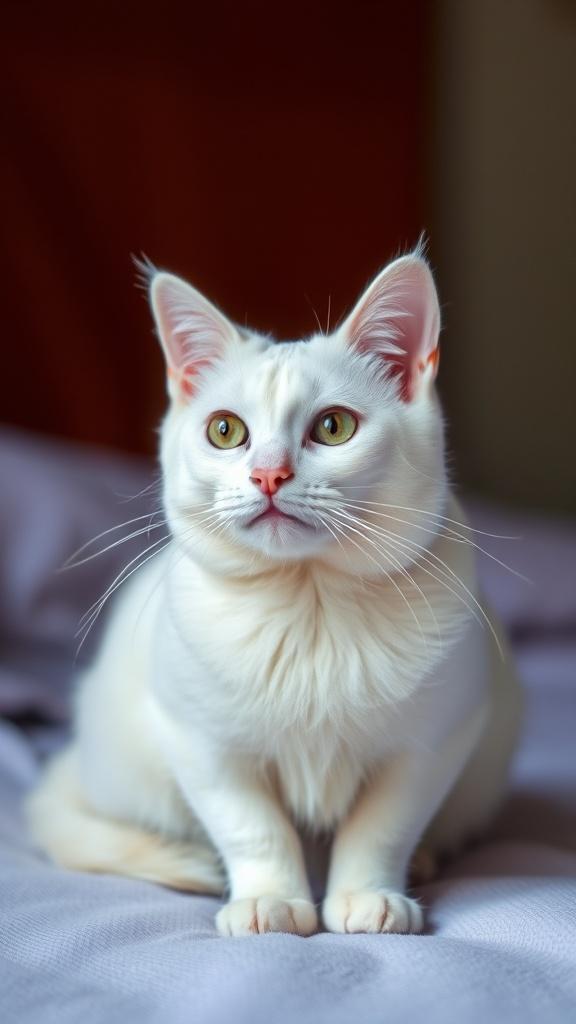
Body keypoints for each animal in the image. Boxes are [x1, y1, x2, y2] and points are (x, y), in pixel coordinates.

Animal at [26, 247, 520, 937]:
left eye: (334, 427)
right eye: (225, 431)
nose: (268, 474)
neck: (309, 606)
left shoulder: (433, 740)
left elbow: (382, 828)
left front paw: (367, 895)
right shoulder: (200, 743)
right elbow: (252, 827)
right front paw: (269, 899)